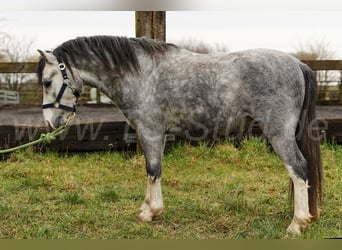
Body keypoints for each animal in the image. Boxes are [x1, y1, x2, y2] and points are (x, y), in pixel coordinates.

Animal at [36, 35, 322, 234]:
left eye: (47, 82)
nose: (49, 123)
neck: (140, 74)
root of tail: (298, 64)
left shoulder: (150, 131)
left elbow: (152, 170)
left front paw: (150, 213)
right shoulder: (158, 134)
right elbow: (154, 171)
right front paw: (148, 207)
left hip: (279, 134)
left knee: (299, 169)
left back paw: (297, 224)